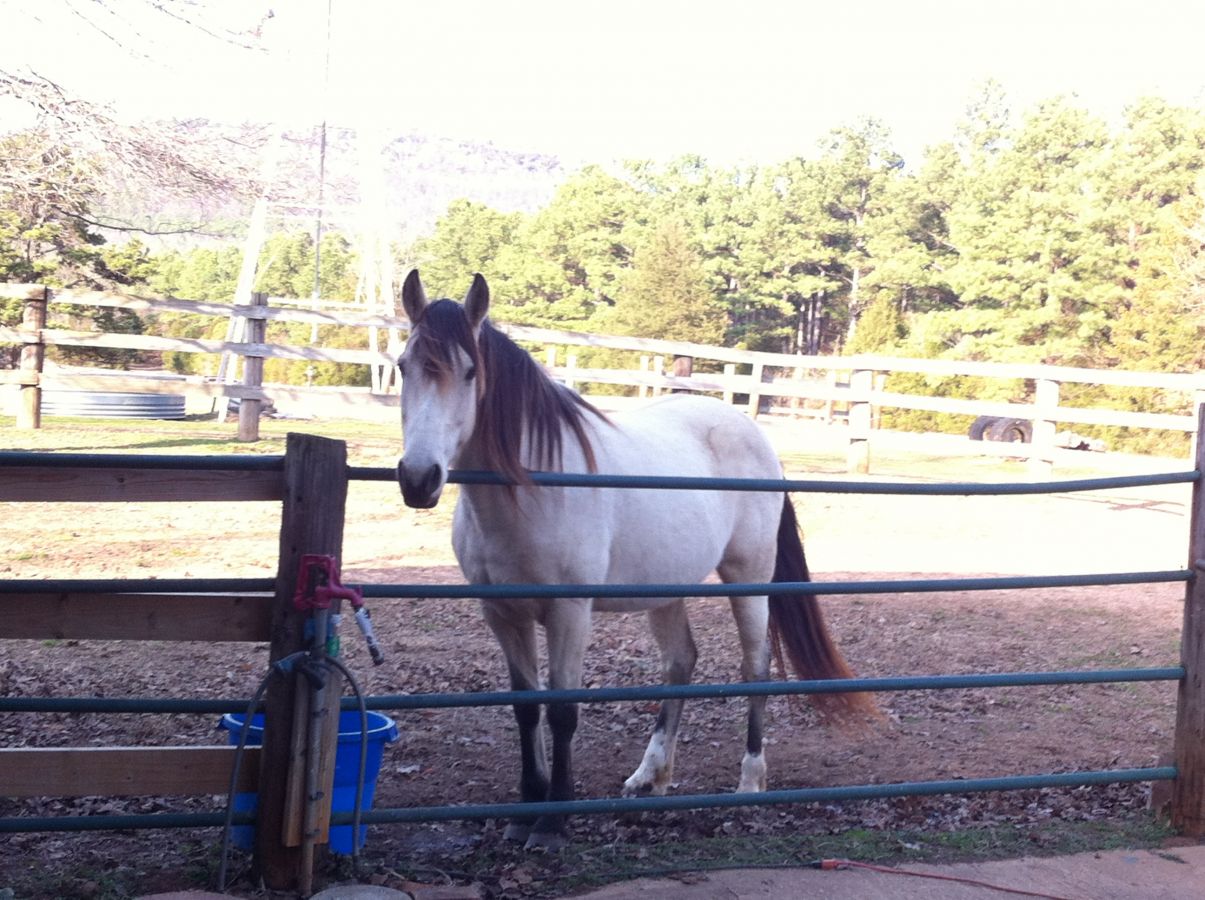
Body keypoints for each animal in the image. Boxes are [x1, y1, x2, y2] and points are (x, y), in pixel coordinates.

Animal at [397, 271, 877, 848]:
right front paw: (525, 810)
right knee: (680, 663)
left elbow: (562, 712)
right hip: (667, 590)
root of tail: (751, 432)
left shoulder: (569, 614)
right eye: (402, 366)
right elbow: (525, 709)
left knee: (755, 666)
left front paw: (553, 821)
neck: (531, 491)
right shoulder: (503, 615)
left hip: (749, 579)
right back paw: (652, 776)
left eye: (470, 372)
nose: (417, 478)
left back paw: (749, 781)